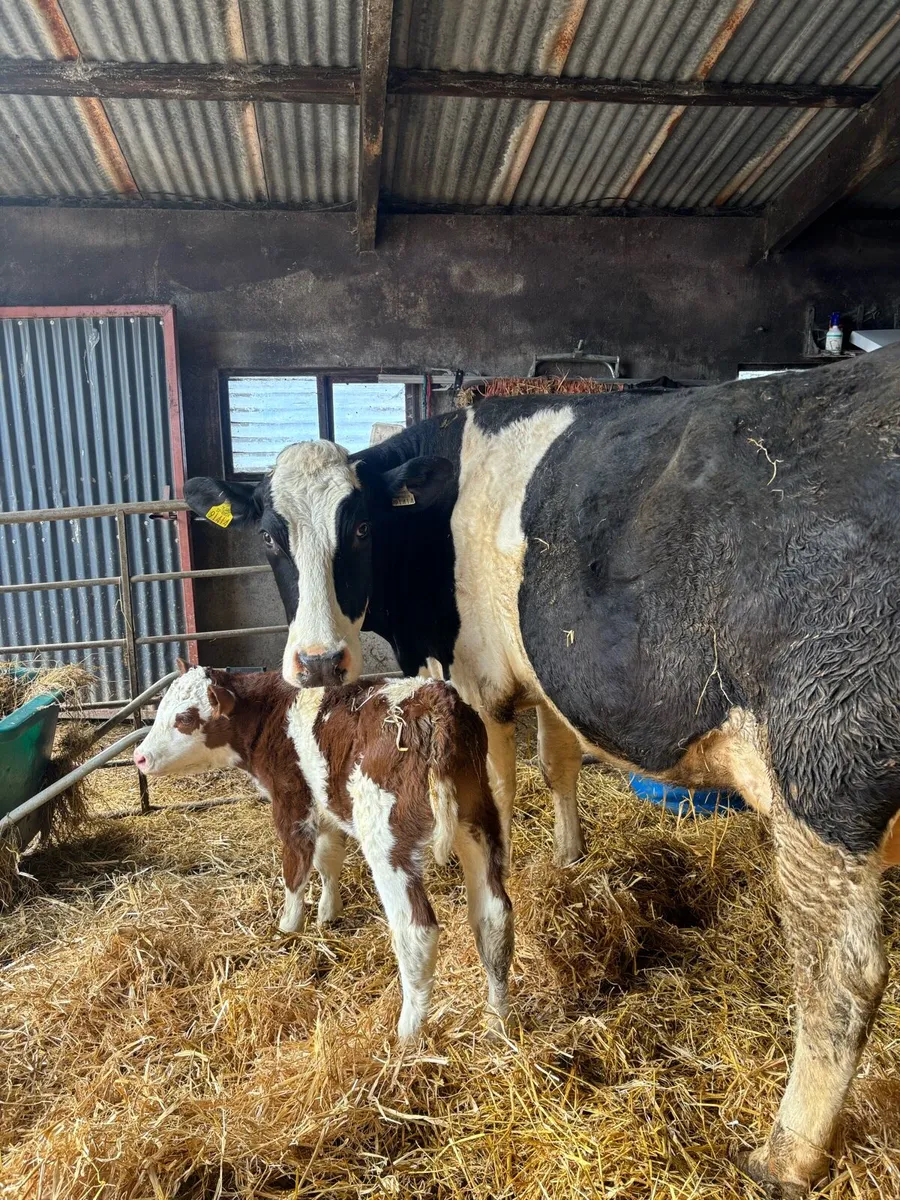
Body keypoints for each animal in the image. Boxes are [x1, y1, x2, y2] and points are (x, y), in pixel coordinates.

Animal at [134, 662, 513, 1038]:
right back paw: (496, 1021)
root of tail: (434, 699)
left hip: (387, 838)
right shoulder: (325, 808)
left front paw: (288, 928)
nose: (139, 757)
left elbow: (296, 869)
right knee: (494, 917)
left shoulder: (292, 804)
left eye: (184, 718)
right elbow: (328, 859)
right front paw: (328, 914)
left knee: (417, 931)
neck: (270, 712)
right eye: (162, 706)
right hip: (477, 820)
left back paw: (407, 1034)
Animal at [184, 346, 900, 1194]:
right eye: (269, 535)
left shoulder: (477, 684)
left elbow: (498, 795)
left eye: (356, 526)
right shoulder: (547, 677)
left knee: (842, 975)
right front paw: (568, 858)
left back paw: (784, 1153)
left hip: (823, 767)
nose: (319, 661)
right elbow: (559, 764)